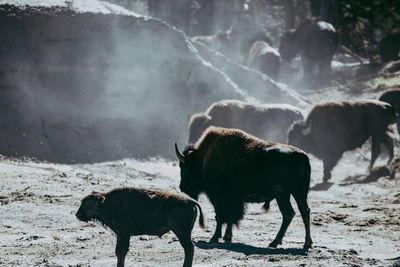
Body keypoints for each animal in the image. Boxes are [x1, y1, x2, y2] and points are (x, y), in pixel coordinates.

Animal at [76, 188, 205, 267]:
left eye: (88, 204)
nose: (77, 214)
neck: (107, 203)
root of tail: (190, 201)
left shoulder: (124, 233)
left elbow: (121, 252)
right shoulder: (121, 235)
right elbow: (119, 252)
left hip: (182, 233)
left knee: (189, 248)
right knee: (189, 249)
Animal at [175, 127, 312, 249]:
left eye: (184, 168)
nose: (182, 188)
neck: (203, 158)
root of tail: (303, 156)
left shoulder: (218, 197)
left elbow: (220, 216)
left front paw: (214, 238)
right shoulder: (231, 199)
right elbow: (230, 217)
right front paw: (227, 237)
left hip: (283, 195)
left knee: (289, 214)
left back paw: (274, 243)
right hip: (298, 193)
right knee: (304, 211)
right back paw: (306, 243)